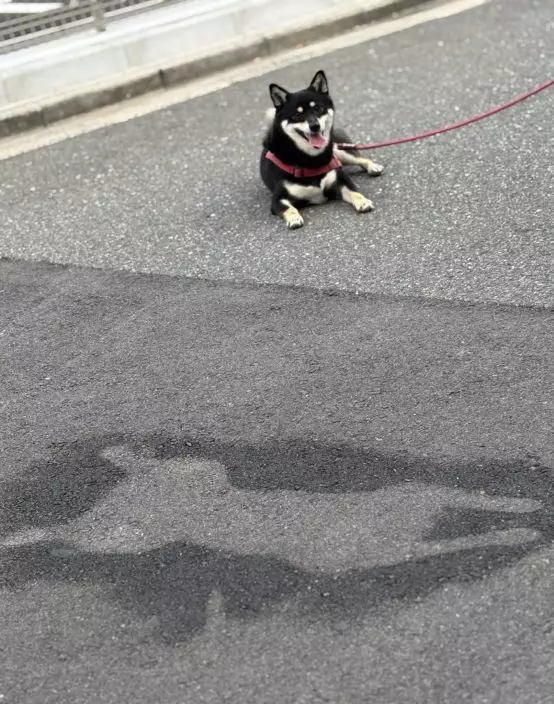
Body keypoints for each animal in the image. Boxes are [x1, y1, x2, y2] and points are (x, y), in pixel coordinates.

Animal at [260, 70, 383, 230]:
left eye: (318, 108)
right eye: (297, 114)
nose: (314, 126)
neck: (311, 159)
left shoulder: (340, 181)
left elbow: (354, 191)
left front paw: (362, 201)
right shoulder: (278, 199)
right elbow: (289, 208)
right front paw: (294, 218)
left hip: (339, 151)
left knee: (360, 158)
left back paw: (373, 167)